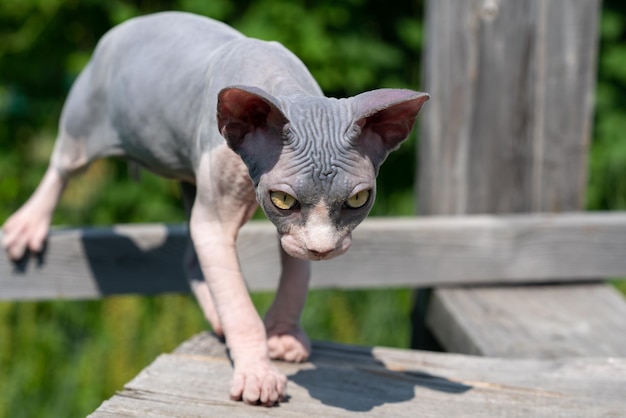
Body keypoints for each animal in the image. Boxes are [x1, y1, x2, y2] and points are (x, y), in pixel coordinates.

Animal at [0, 12, 426, 404]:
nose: (323, 250)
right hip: (85, 121)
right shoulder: (219, 214)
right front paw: (258, 374)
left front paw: (284, 335)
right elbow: (238, 300)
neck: (280, 81)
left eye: (357, 200)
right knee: (62, 165)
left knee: (191, 257)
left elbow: (295, 270)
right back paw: (28, 224)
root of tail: (132, 23)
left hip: (191, 176)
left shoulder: (292, 232)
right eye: (283, 200)